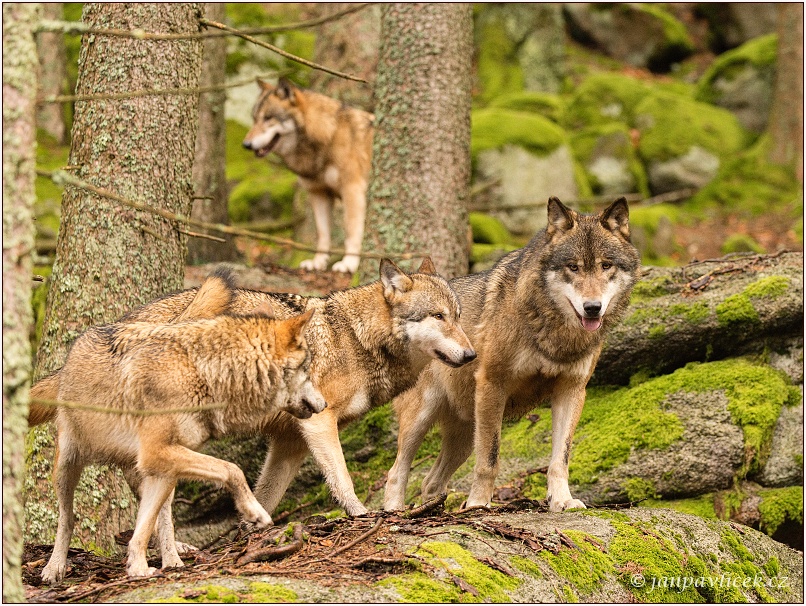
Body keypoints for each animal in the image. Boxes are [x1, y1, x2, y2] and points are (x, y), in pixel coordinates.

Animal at [28, 258, 476, 528]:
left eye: (458, 317)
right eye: (439, 317)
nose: (472, 354)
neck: (354, 337)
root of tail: (119, 324)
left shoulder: (290, 442)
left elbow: (267, 494)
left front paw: (250, 527)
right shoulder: (319, 422)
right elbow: (343, 481)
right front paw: (361, 516)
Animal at [34, 270, 326, 584]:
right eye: (308, 370)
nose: (324, 405)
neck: (202, 373)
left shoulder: (162, 461)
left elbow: (144, 528)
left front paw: (138, 568)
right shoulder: (157, 453)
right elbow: (232, 469)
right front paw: (254, 512)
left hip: (161, 474)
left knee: (162, 520)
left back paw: (172, 559)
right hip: (68, 466)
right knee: (67, 519)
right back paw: (54, 567)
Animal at [243, 78, 376, 276]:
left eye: (268, 118)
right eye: (254, 119)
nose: (246, 144)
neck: (328, 136)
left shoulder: (352, 189)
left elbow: (351, 230)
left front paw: (349, 264)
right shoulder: (318, 193)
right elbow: (322, 234)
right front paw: (318, 262)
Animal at [382, 200, 640, 516]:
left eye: (606, 265)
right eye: (573, 267)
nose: (592, 308)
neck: (554, 331)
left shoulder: (572, 391)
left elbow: (560, 459)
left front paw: (562, 501)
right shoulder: (493, 384)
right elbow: (490, 460)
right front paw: (479, 504)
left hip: (465, 434)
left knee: (430, 481)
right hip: (423, 417)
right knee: (397, 471)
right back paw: (394, 512)